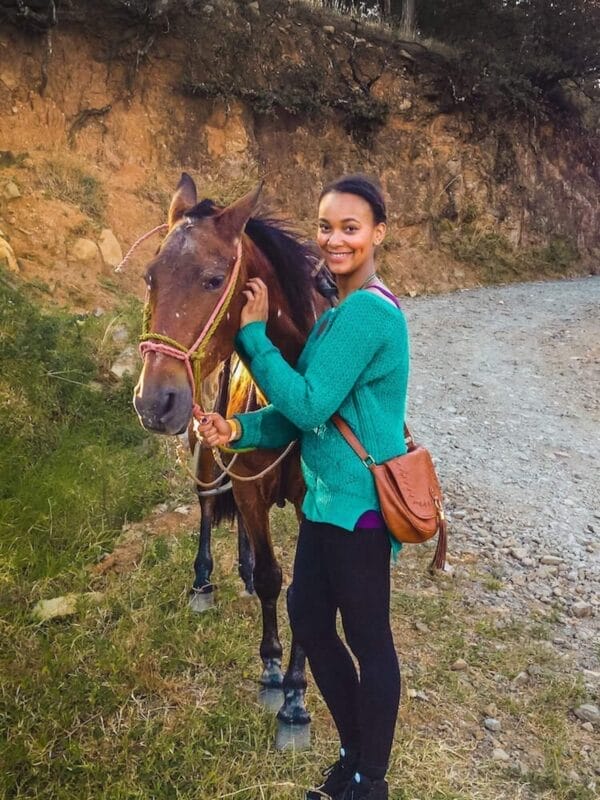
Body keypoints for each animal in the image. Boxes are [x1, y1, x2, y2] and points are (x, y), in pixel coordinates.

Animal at [132, 173, 336, 744]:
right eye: (150, 278)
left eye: (213, 279)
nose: (154, 401)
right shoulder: (243, 479)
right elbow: (271, 577)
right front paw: (271, 675)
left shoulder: (315, 505)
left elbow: (304, 592)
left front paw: (296, 699)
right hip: (207, 449)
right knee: (207, 503)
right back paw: (205, 582)